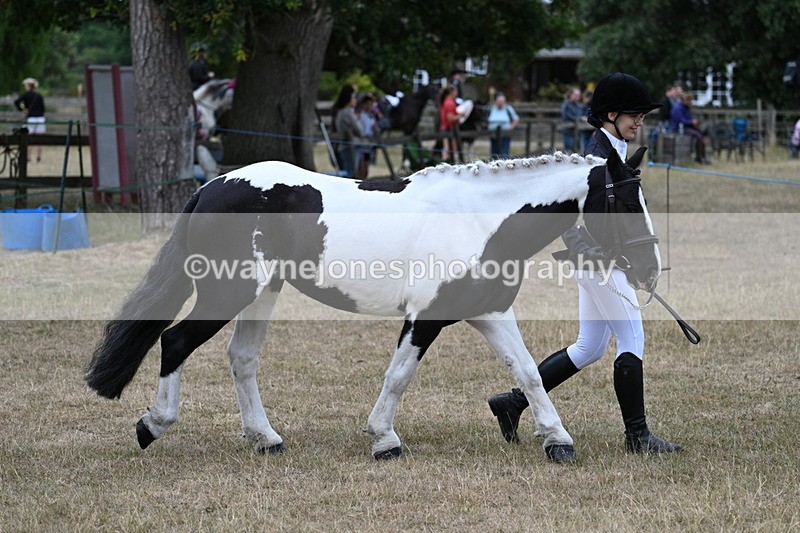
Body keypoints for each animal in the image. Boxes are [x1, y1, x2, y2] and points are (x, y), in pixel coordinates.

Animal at [84, 147, 660, 464]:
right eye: (623, 201)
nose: (649, 270)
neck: (479, 220)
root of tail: (210, 187)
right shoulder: (426, 317)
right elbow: (399, 375)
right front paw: (385, 440)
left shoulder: (491, 313)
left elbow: (529, 373)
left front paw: (557, 441)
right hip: (229, 291)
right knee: (175, 340)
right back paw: (154, 424)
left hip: (262, 292)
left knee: (241, 359)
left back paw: (266, 439)